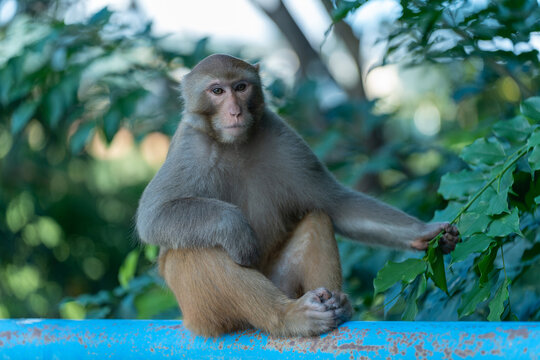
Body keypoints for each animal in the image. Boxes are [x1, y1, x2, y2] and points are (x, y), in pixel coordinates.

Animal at [136, 54, 460, 338]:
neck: (234, 144)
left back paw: (334, 306)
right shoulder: (189, 147)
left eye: (240, 87)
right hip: (202, 314)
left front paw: (426, 233)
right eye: (217, 91)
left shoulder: (282, 136)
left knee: (318, 218)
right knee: (194, 250)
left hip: (283, 282)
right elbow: (154, 217)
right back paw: (288, 317)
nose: (235, 111)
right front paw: (236, 228)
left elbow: (335, 204)